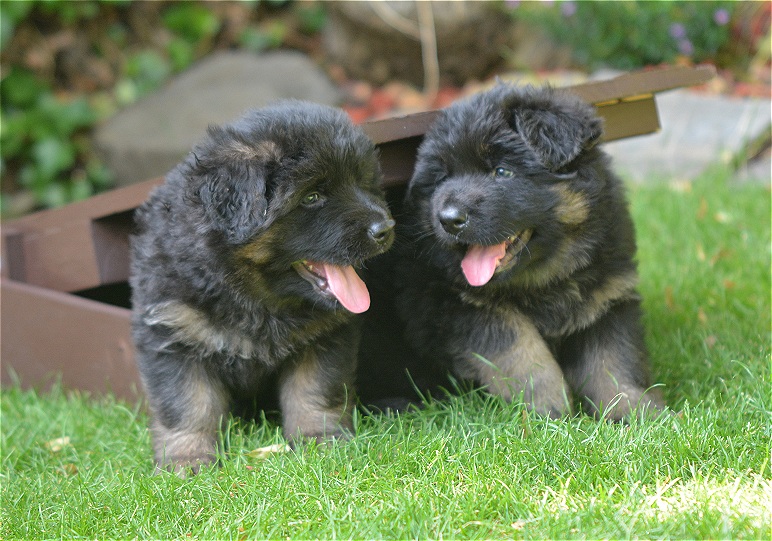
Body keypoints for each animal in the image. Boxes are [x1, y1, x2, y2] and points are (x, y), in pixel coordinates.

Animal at [130, 101, 395, 473]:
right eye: (312, 196)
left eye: (363, 182)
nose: (385, 229)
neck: (256, 300)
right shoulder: (173, 333)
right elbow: (186, 405)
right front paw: (188, 460)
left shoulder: (324, 336)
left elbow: (314, 389)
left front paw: (320, 440)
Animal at [357, 84, 663, 420]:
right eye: (442, 178)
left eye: (502, 171)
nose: (449, 219)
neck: (543, 279)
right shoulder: (454, 304)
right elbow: (520, 350)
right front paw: (549, 410)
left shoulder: (606, 300)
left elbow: (613, 363)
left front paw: (637, 412)